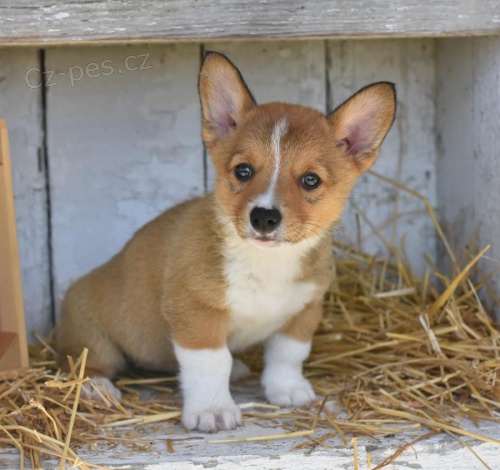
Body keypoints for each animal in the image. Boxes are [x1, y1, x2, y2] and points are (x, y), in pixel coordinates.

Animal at [56, 51, 396, 434]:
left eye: (311, 180)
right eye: (243, 171)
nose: (264, 218)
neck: (266, 264)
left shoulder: (303, 311)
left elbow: (287, 355)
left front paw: (287, 390)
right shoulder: (197, 315)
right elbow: (210, 364)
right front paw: (212, 410)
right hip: (91, 334)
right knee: (85, 362)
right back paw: (95, 388)